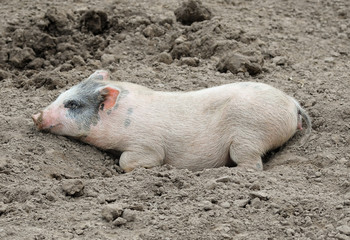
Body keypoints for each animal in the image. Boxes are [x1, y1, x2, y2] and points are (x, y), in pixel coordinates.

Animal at [32, 70, 312, 172]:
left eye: (72, 104)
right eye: (62, 94)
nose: (35, 115)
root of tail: (292, 103)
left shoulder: (147, 145)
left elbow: (129, 161)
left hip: (250, 136)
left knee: (252, 165)